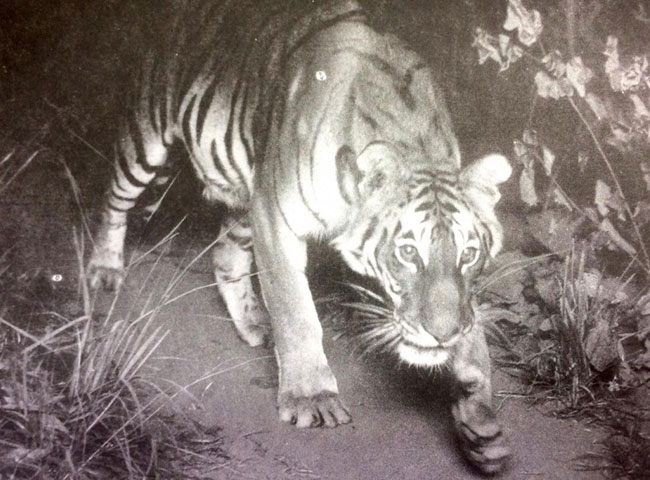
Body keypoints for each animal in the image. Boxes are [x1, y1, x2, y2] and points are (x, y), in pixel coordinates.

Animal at [88, 0, 512, 474]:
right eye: (406, 251)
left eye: (469, 254)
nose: (441, 335)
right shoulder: (276, 216)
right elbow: (297, 313)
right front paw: (313, 397)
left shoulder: (262, 206)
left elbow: (472, 326)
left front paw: (480, 419)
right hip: (149, 140)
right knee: (114, 199)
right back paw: (104, 269)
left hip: (244, 199)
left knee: (225, 255)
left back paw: (254, 322)